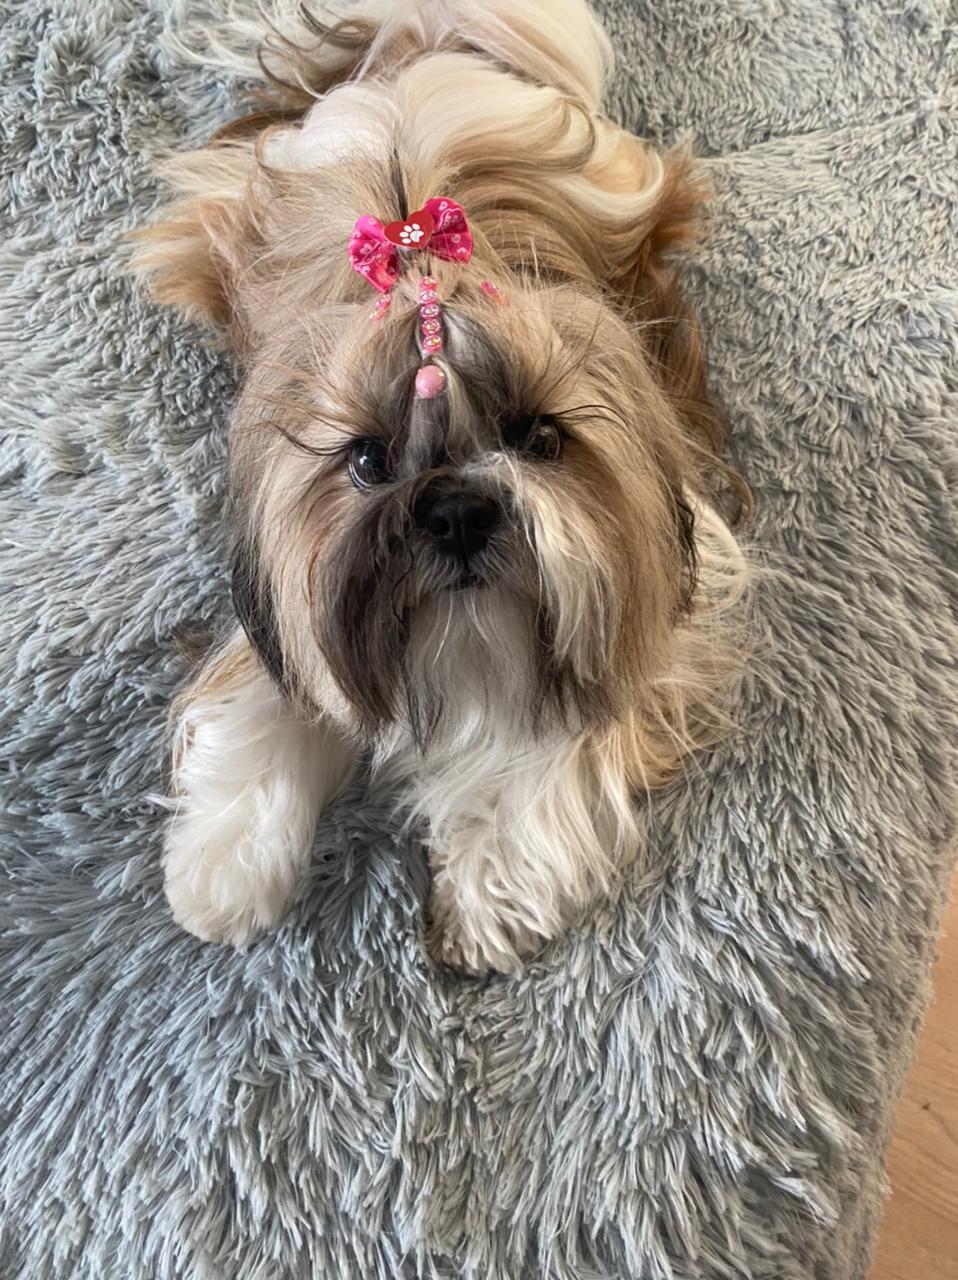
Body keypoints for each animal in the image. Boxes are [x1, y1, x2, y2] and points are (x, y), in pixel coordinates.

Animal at [132, 0, 749, 974]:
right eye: (368, 462)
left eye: (538, 439)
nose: (458, 509)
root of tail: (424, 55)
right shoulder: (282, 594)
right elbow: (271, 697)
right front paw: (224, 869)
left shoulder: (652, 595)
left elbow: (564, 735)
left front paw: (490, 889)